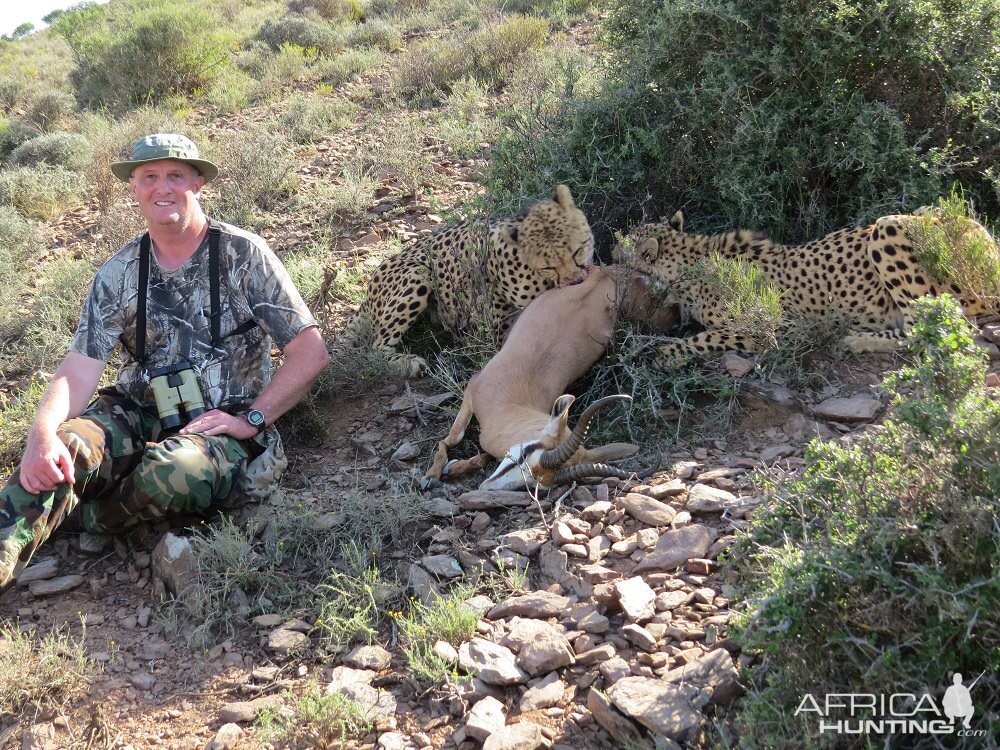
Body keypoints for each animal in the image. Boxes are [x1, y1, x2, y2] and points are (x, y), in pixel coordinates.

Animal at [348, 185, 592, 376]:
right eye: (548, 266)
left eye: (578, 251)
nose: (576, 281)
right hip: (417, 273)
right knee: (375, 348)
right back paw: (408, 364)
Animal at [422, 266, 680, 494]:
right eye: (524, 456)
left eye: (537, 484)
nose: (486, 488)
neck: (506, 408)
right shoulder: (472, 389)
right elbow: (453, 438)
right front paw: (432, 475)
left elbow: (483, 455)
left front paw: (456, 468)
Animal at [612, 209, 996, 368]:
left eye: (621, 248)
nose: (607, 251)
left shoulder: (781, 328)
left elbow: (708, 337)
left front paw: (667, 354)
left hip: (889, 227)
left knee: (932, 329)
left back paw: (855, 340)